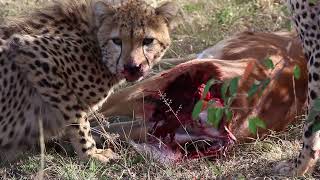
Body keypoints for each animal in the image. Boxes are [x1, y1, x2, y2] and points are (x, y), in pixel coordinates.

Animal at [0, 0, 178, 162]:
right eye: (117, 41)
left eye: (148, 41)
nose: (132, 67)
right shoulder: (32, 51)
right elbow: (78, 119)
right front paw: (91, 154)